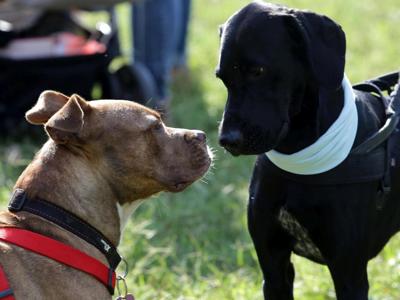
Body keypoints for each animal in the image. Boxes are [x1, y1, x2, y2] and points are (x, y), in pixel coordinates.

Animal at [217, 1, 400, 298]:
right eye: (222, 77)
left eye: (258, 71)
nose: (227, 140)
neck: (299, 158)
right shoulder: (274, 267)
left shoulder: (349, 274)